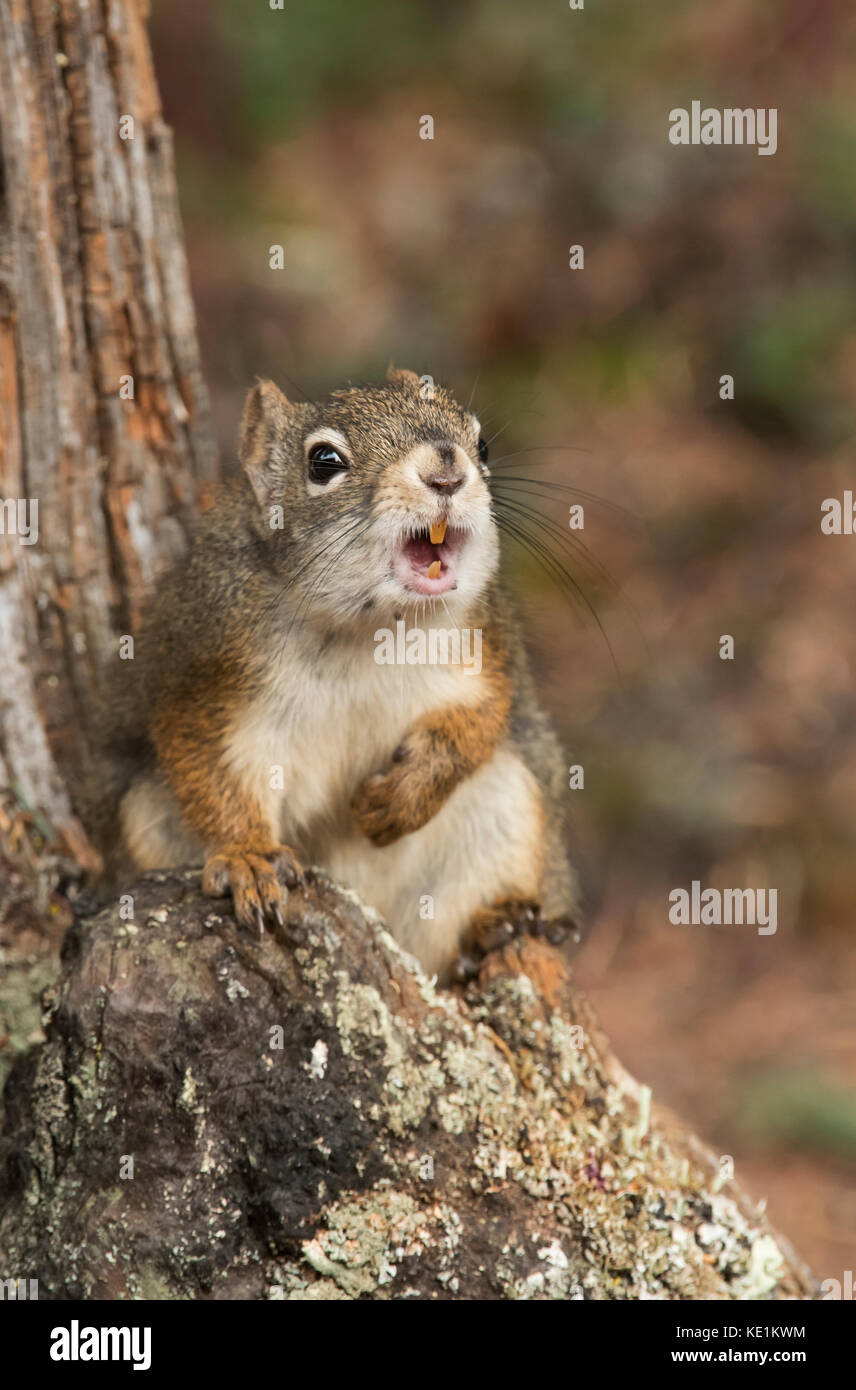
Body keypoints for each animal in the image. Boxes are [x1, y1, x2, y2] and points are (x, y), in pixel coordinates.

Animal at [110, 364, 578, 984]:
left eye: (482, 446)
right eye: (323, 462)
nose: (448, 471)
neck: (367, 630)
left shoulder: (484, 649)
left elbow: (480, 720)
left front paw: (397, 799)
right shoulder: (206, 667)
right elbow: (207, 763)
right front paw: (248, 857)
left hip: (506, 813)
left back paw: (497, 927)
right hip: (150, 823)